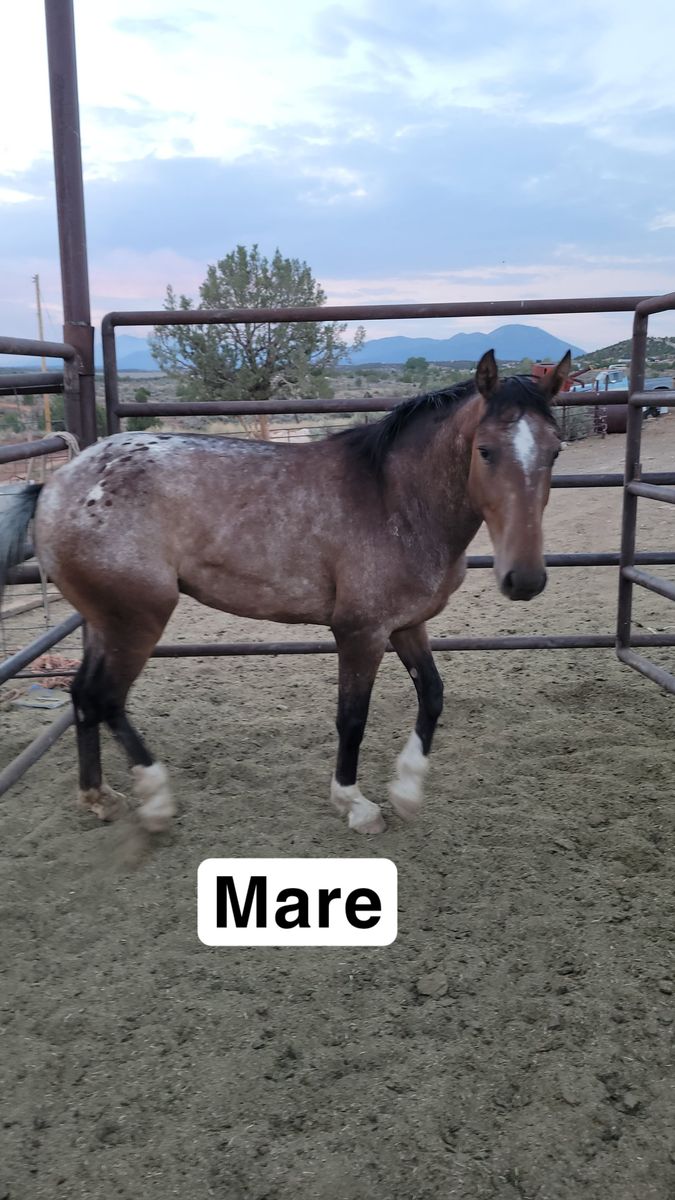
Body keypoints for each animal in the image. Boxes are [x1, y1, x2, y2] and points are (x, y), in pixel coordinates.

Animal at [0, 349, 568, 834]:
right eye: (485, 451)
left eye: (555, 450)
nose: (524, 579)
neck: (396, 500)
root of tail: (54, 487)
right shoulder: (360, 633)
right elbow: (352, 719)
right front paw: (355, 804)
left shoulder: (407, 625)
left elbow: (432, 696)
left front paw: (406, 792)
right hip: (137, 619)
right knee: (106, 698)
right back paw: (156, 801)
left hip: (104, 620)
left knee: (82, 696)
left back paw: (100, 799)